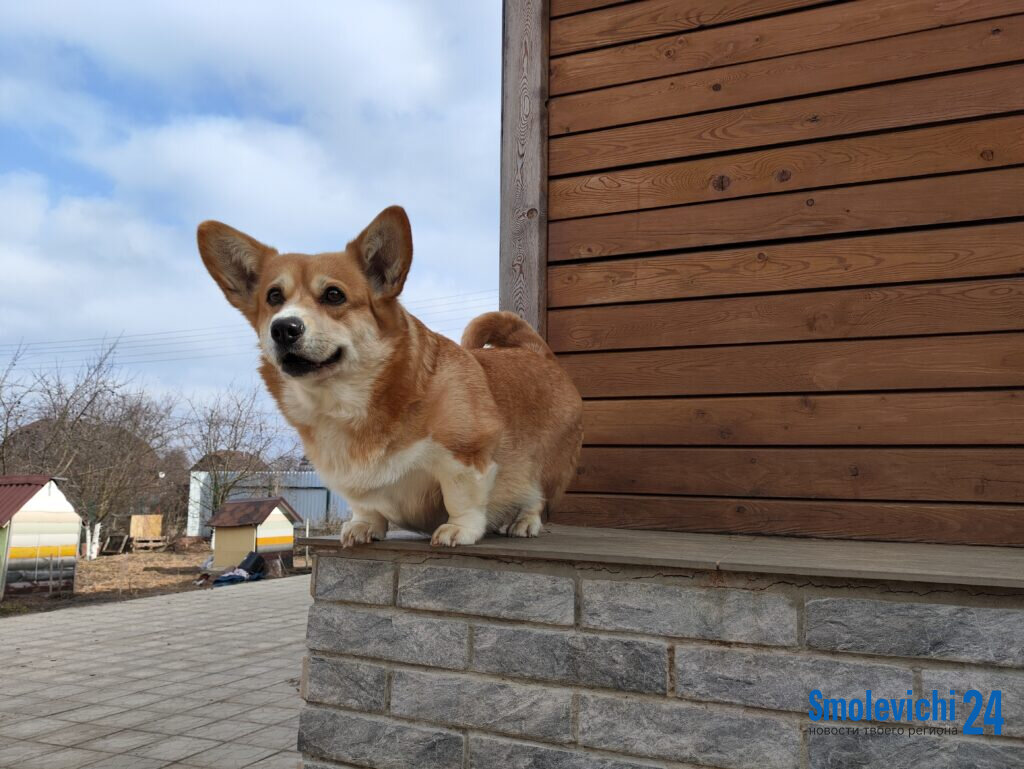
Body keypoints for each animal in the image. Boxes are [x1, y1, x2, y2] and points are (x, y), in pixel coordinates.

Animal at [197, 207, 585, 548]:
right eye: (274, 296)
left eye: (334, 295)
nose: (283, 328)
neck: (343, 401)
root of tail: (537, 351)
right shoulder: (356, 483)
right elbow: (366, 506)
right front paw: (365, 527)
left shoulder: (466, 454)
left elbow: (461, 498)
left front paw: (459, 530)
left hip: (546, 469)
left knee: (536, 500)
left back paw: (523, 523)